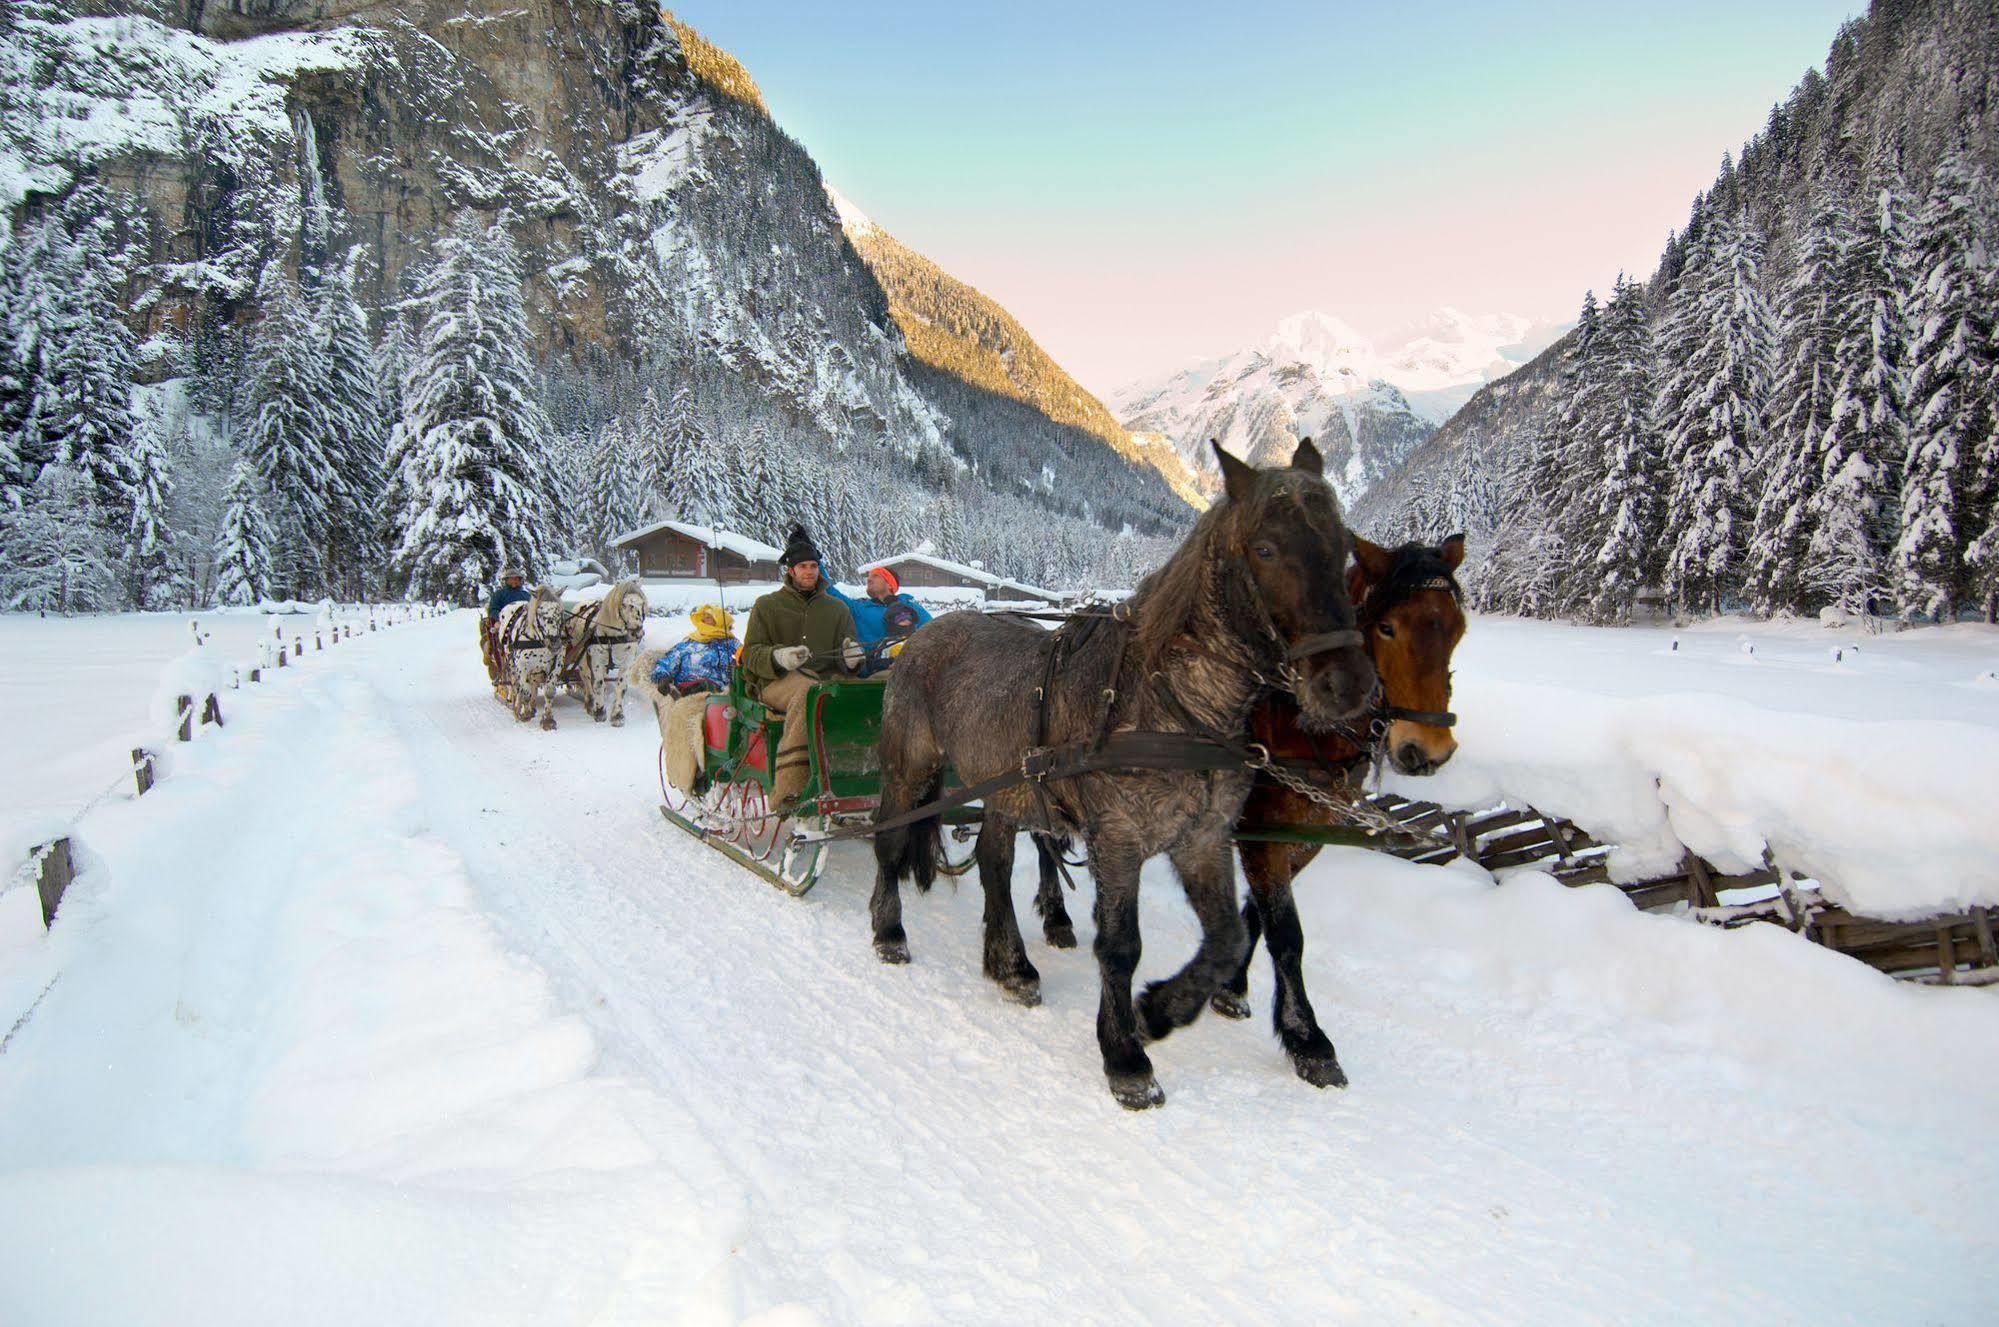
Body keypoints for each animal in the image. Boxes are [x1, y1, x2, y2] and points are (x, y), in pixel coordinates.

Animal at [493, 587, 567, 731]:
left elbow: (549, 692)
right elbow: (525, 692)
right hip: (511, 666)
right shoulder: (522, 667)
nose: (554, 642)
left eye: (560, 611)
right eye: (541, 613)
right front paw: (525, 714)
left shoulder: (556, 664)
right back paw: (516, 709)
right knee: (516, 688)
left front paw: (548, 720)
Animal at [559, 579, 643, 727]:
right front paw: (599, 712)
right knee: (586, 678)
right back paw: (590, 703)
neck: (613, 636)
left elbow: (621, 686)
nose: (637, 632)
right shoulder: (597, 661)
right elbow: (597, 684)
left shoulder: (627, 662)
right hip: (582, 656)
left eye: (642, 603)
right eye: (624, 604)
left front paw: (617, 716)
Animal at [871, 437, 1375, 1111]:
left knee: (995, 864)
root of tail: (926, 631)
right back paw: (889, 930)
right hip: (909, 768)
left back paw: (1012, 966)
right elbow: (1120, 945)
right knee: (889, 840)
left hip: (1006, 788)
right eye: (1266, 549)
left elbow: (1227, 939)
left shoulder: (1203, 839)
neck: (1172, 706)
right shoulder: (1117, 840)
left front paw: (1160, 1010)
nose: (1347, 684)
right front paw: (1126, 1057)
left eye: (1343, 546)